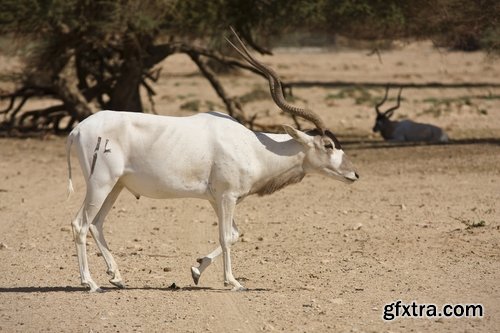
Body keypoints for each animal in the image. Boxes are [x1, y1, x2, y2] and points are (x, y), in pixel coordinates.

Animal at [66, 29, 358, 294]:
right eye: (328, 144)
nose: (354, 174)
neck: (254, 147)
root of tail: (77, 129)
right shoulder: (227, 197)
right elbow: (226, 237)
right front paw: (233, 282)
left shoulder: (217, 199)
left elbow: (234, 235)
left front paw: (196, 270)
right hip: (101, 184)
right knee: (80, 224)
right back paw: (90, 283)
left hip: (116, 186)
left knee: (96, 224)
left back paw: (116, 277)